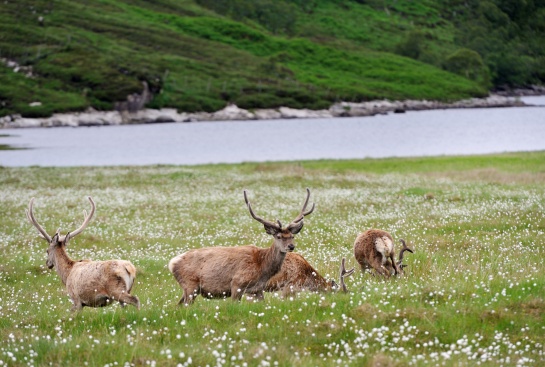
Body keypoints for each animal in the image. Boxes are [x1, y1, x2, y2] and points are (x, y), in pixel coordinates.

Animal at [169, 188, 314, 306]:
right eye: (278, 236)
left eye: (292, 236)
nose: (291, 246)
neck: (262, 267)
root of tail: (172, 262)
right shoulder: (236, 284)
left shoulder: (257, 289)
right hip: (190, 285)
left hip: (189, 289)